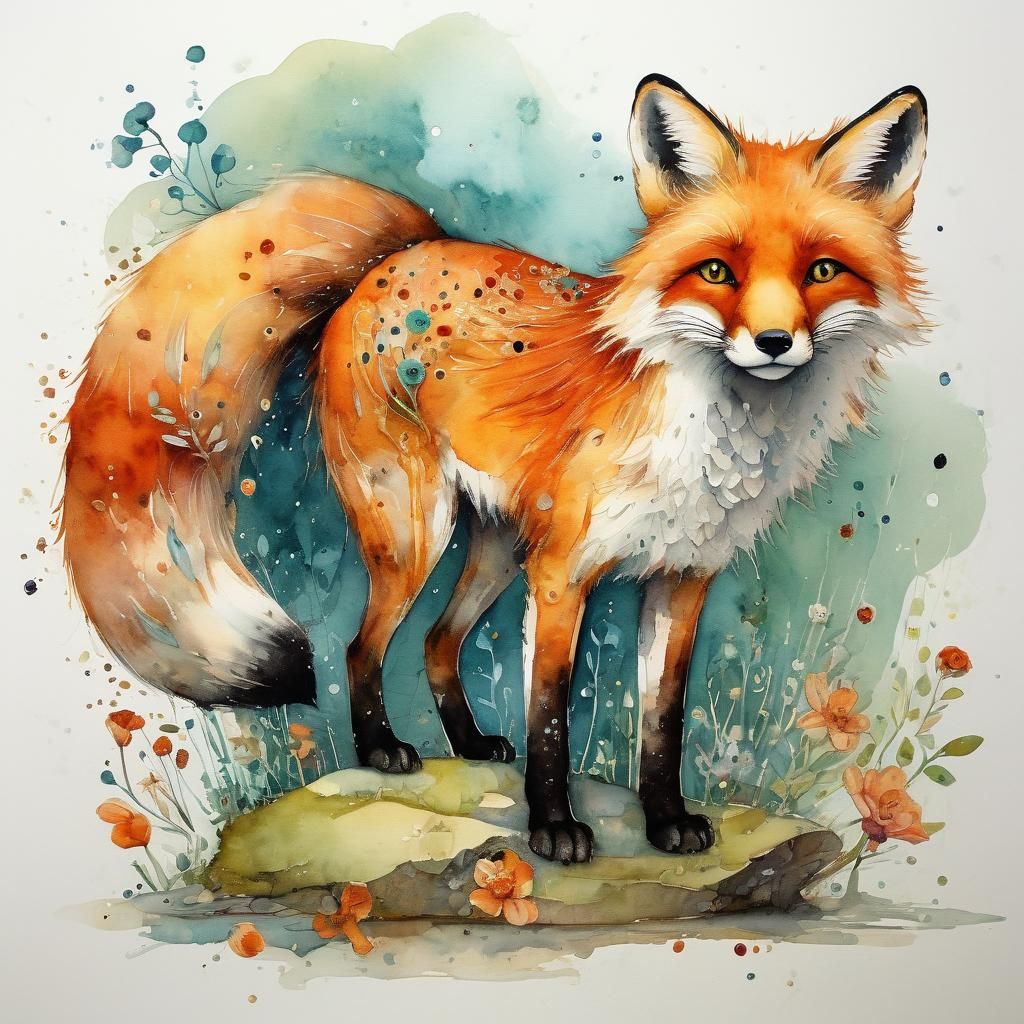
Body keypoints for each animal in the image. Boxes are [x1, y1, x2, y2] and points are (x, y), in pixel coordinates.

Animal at [62, 76, 928, 864]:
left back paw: (472, 744)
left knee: (436, 642)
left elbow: (663, 721)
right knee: (358, 646)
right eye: (717, 271)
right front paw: (554, 831)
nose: (776, 343)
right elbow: (549, 713)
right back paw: (381, 750)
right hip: (418, 531)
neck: (709, 438)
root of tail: (407, 251)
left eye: (822, 271)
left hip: (495, 545)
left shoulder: (682, 578)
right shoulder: (564, 572)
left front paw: (667, 823)